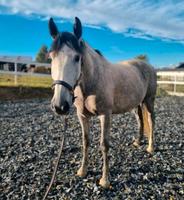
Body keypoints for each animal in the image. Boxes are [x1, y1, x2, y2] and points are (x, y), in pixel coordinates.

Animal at [47, 16, 157, 188]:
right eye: (51, 57)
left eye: (77, 57)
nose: (59, 106)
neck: (92, 82)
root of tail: (148, 66)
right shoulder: (82, 116)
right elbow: (85, 142)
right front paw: (82, 171)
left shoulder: (105, 115)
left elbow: (104, 145)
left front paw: (105, 180)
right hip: (136, 104)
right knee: (140, 120)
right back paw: (138, 142)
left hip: (149, 101)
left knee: (151, 120)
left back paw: (150, 147)